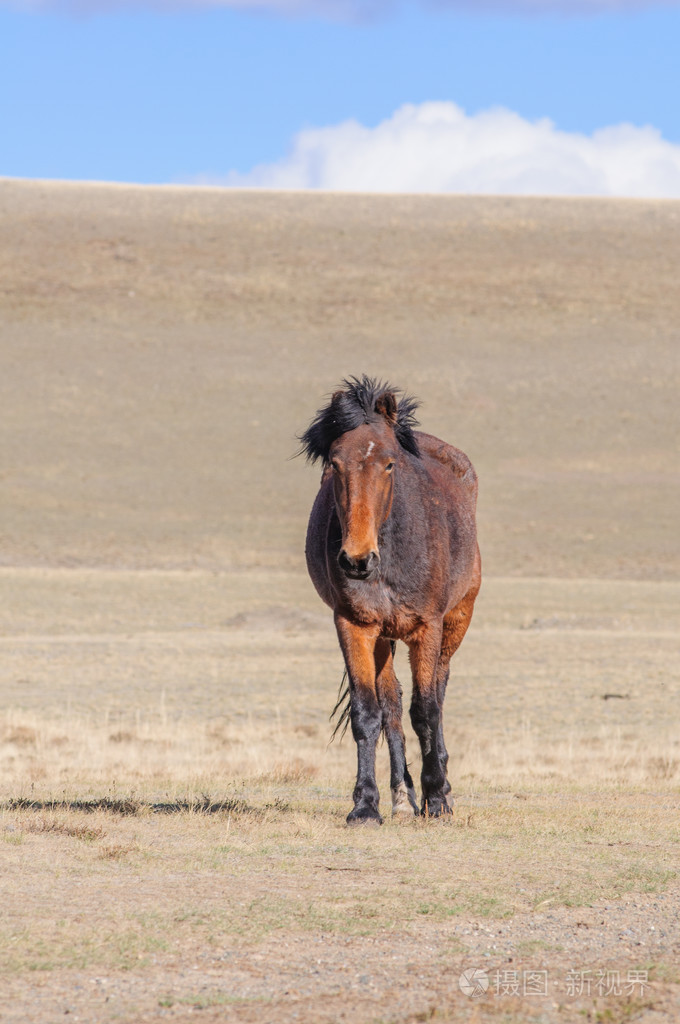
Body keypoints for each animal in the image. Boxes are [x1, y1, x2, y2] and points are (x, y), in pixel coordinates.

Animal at [300, 375, 481, 824]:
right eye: (334, 464)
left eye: (389, 463)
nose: (357, 560)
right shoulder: (354, 624)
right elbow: (368, 713)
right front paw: (366, 805)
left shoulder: (427, 627)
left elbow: (426, 710)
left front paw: (438, 799)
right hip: (383, 636)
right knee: (392, 703)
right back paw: (402, 795)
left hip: (456, 621)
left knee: (438, 692)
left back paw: (440, 787)